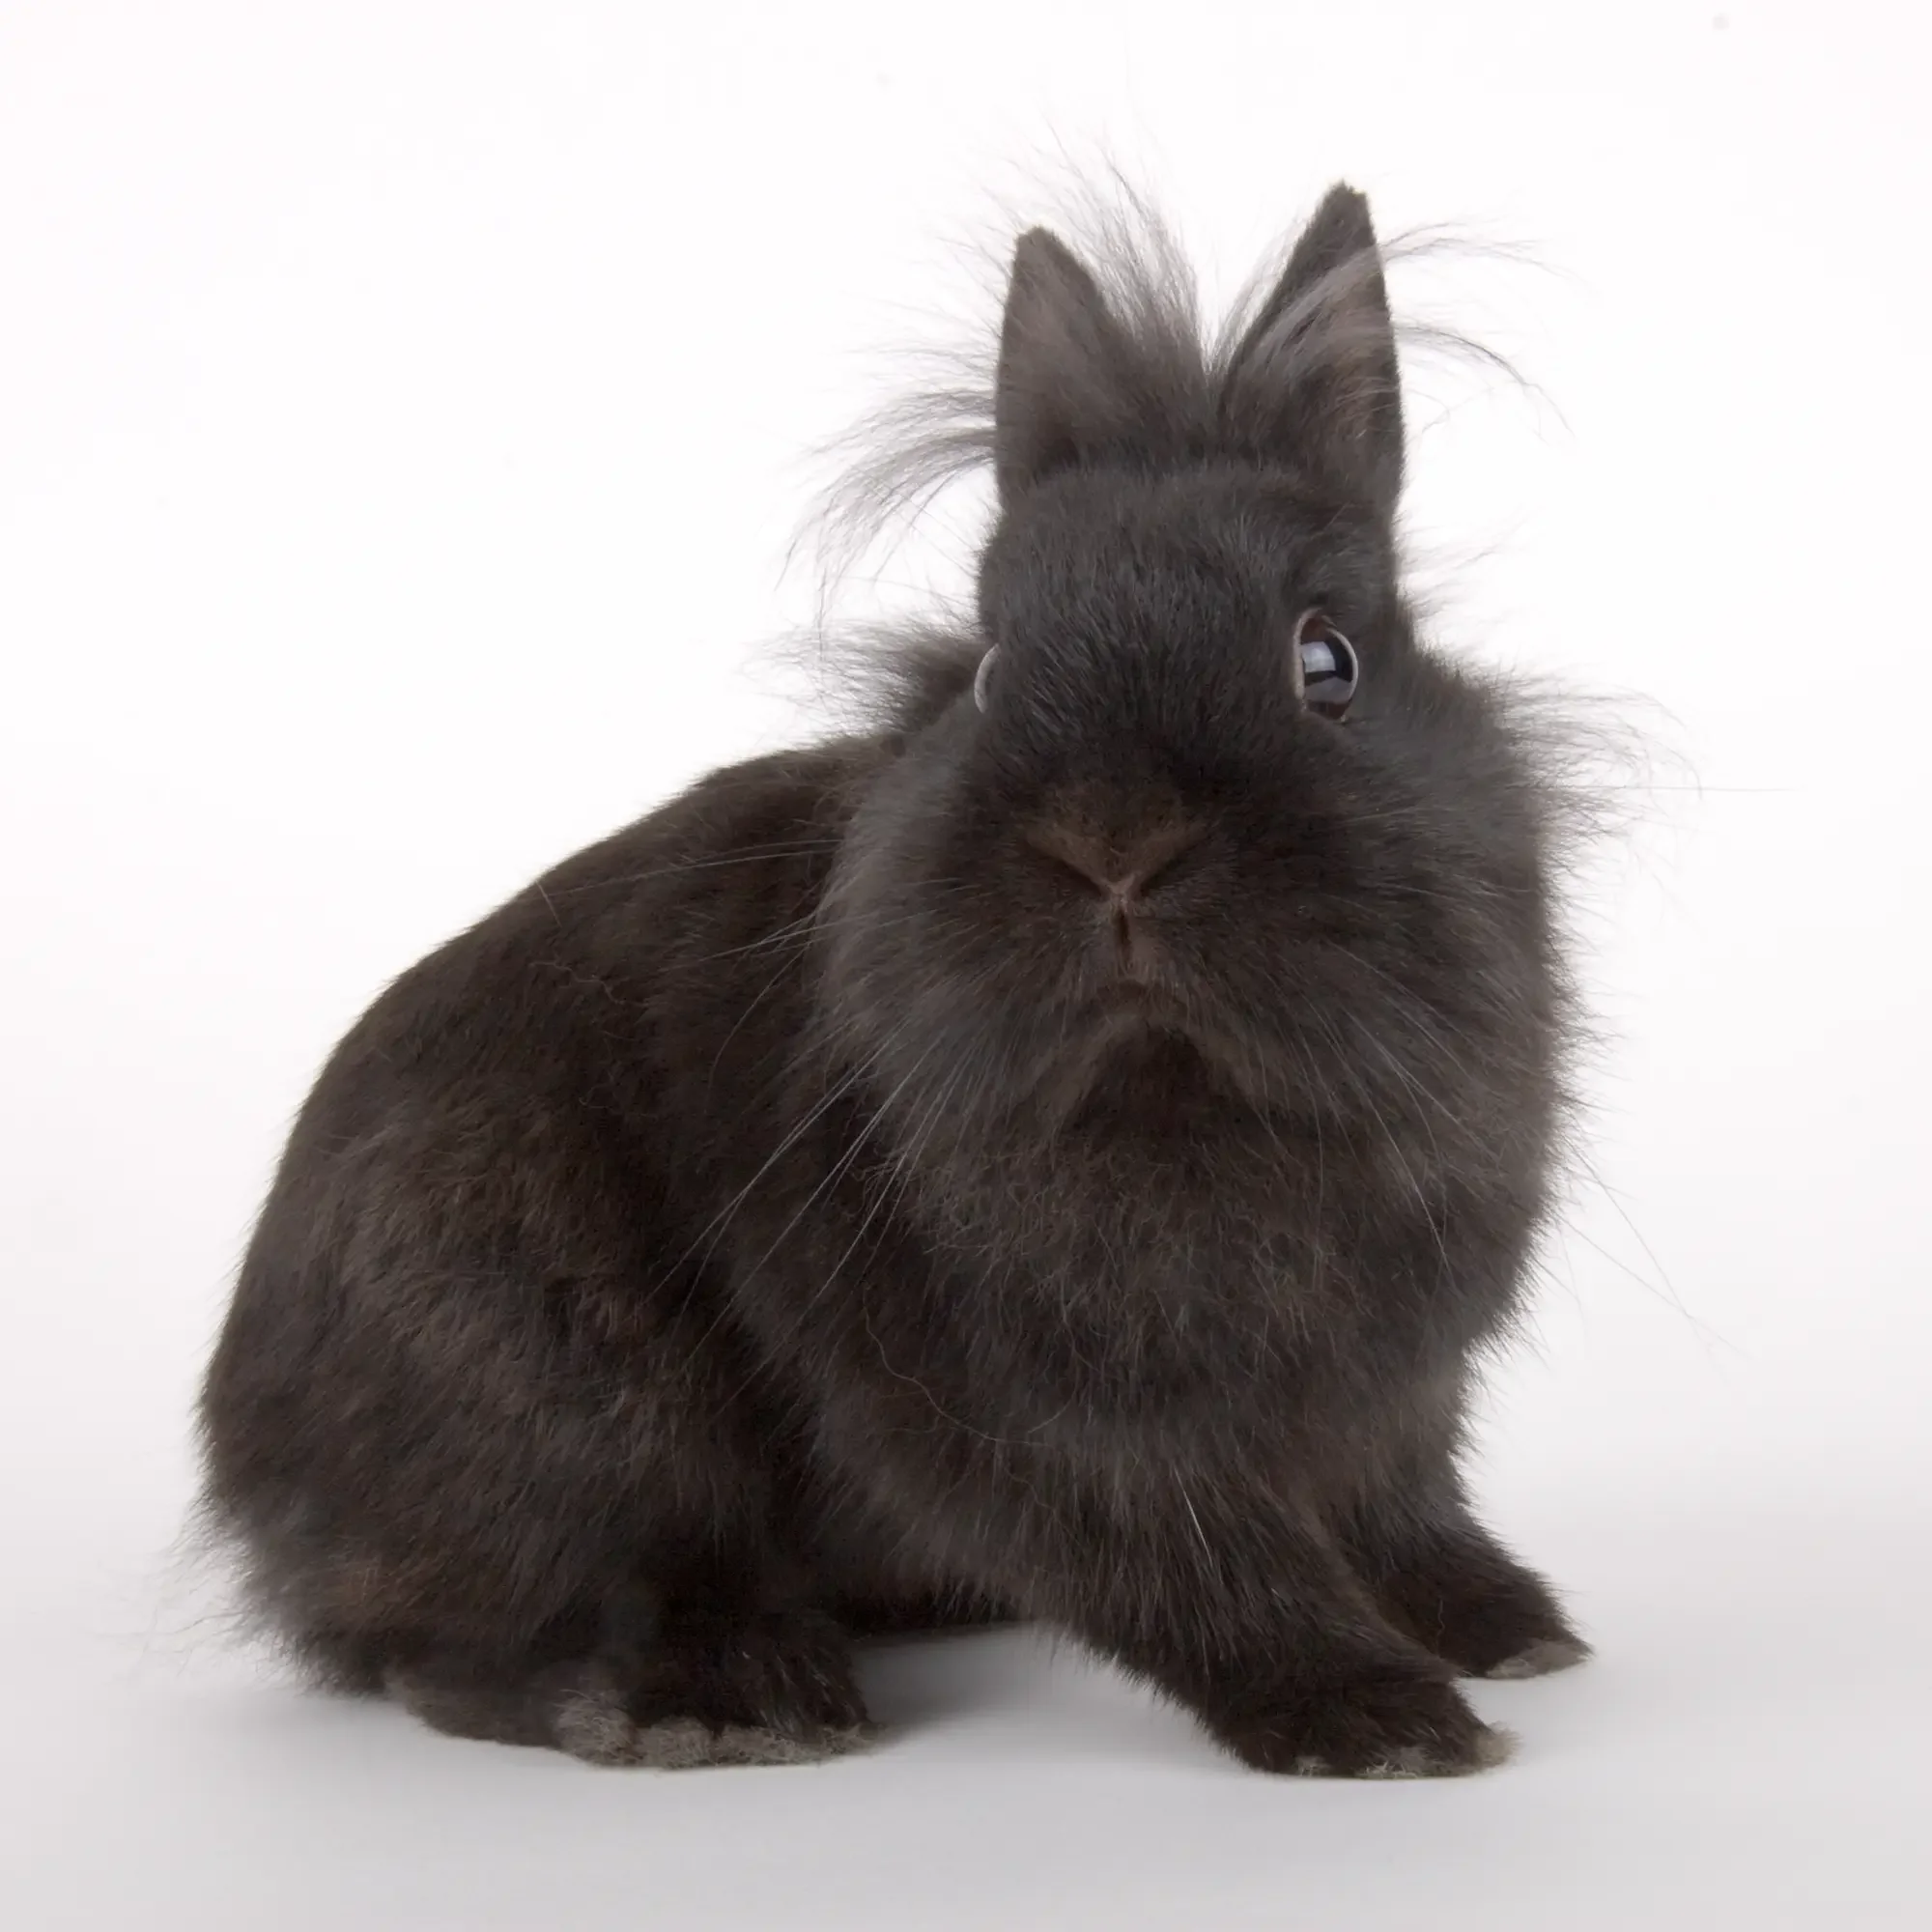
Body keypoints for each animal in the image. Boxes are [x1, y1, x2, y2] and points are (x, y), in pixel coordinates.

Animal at [199, 182, 1592, 1779]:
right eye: (987, 676)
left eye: (1329, 660)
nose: (1114, 844)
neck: (1180, 1094)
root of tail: (249, 1477)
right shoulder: (1055, 1427)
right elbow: (1203, 1567)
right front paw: (1382, 1719)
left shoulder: (1399, 1402)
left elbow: (1399, 1512)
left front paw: (1512, 1631)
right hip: (564, 1399)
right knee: (462, 1650)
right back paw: (722, 1705)